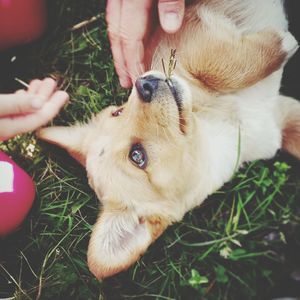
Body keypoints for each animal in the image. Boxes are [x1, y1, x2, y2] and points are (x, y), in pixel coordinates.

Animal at [37, 0, 300, 278]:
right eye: (137, 156)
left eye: (118, 112)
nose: (143, 84)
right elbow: (223, 67)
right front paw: (283, 42)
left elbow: (215, 70)